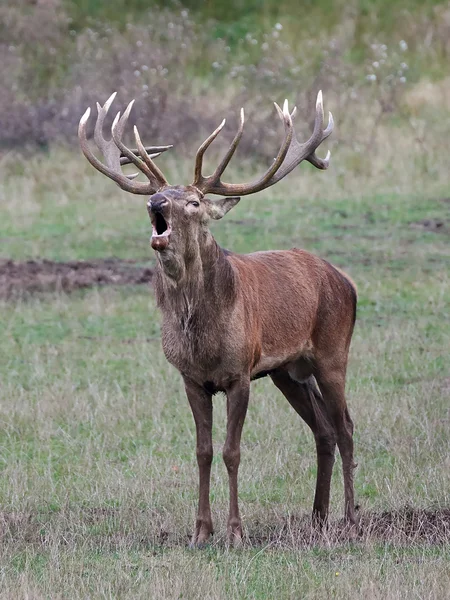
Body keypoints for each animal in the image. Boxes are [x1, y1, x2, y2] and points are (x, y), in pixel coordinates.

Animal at [78, 90, 358, 548]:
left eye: (193, 202)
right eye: (157, 195)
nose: (156, 202)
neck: (203, 340)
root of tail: (347, 281)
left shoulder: (240, 374)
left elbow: (232, 451)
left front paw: (236, 532)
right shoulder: (191, 378)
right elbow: (203, 451)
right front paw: (200, 531)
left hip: (333, 353)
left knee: (346, 426)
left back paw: (350, 519)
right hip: (287, 371)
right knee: (324, 430)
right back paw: (317, 518)